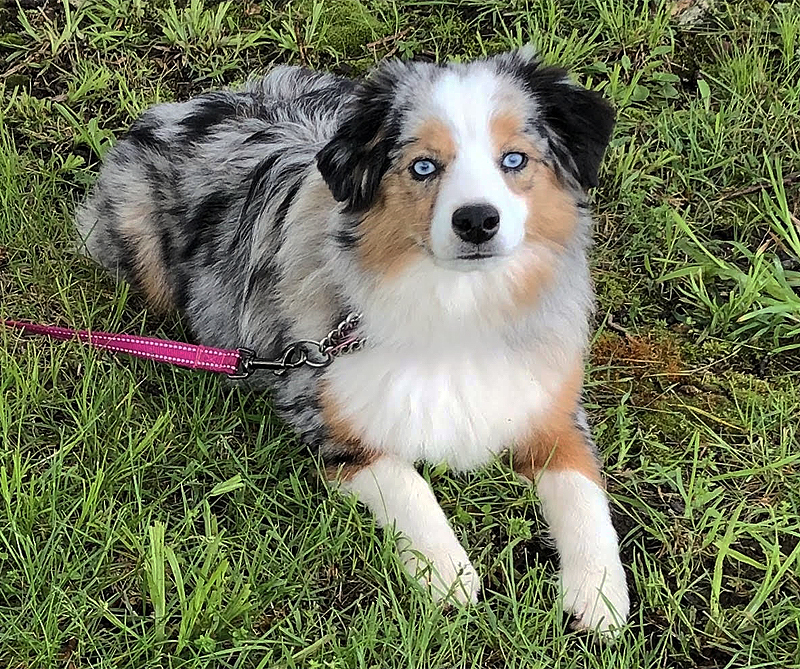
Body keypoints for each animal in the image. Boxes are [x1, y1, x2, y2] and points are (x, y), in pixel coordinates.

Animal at [75, 45, 628, 632]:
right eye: (423, 166)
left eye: (515, 159)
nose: (477, 220)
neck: (457, 308)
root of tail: (174, 108)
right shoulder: (328, 420)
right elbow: (408, 484)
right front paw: (447, 573)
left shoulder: (552, 408)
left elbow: (583, 491)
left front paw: (599, 592)